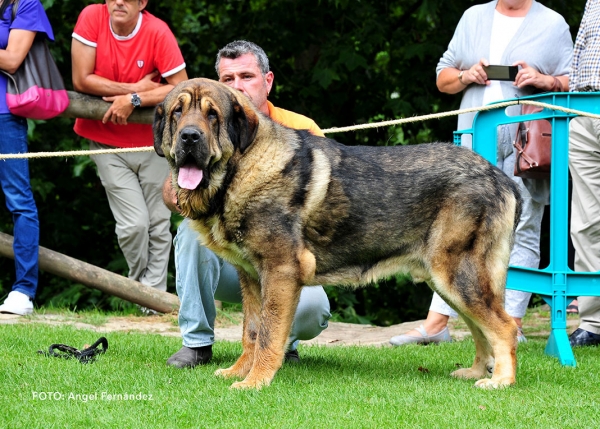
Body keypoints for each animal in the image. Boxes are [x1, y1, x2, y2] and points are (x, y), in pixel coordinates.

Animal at [154, 77, 520, 388]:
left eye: (212, 115)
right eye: (177, 112)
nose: (190, 137)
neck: (241, 169)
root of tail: (500, 177)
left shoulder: (280, 271)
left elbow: (269, 334)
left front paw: (255, 382)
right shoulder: (252, 278)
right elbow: (252, 332)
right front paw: (239, 372)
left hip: (457, 276)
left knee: (503, 326)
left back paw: (500, 380)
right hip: (447, 282)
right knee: (480, 329)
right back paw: (475, 371)